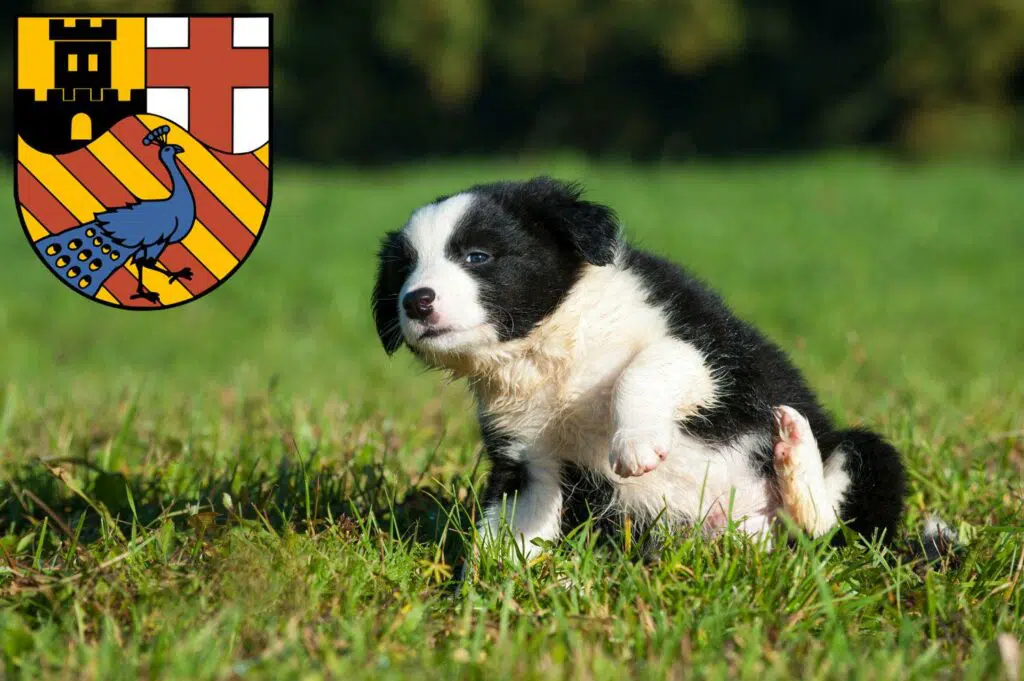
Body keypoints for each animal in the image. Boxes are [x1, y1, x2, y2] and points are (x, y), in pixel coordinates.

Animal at [374, 176, 905, 557]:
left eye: (477, 256)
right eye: (404, 272)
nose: (415, 301)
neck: (548, 352)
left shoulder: (705, 349)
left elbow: (646, 365)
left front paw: (636, 444)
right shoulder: (531, 462)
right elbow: (506, 532)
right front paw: (483, 595)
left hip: (868, 455)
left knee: (826, 529)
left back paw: (794, 453)